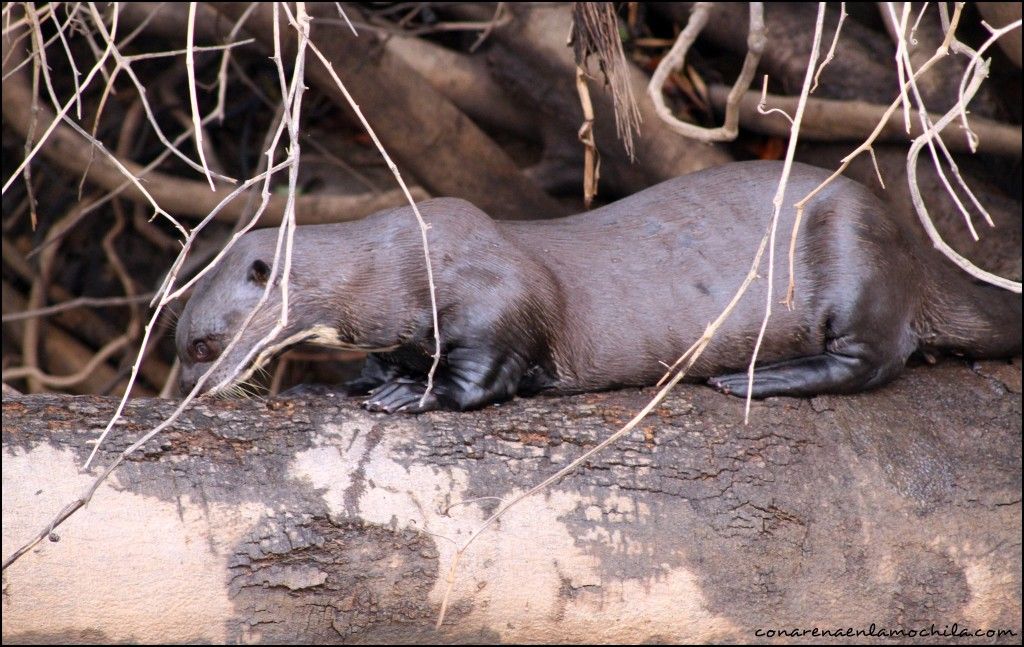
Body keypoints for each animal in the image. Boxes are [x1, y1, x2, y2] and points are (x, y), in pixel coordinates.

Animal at [174, 160, 1015, 409]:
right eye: (179, 343)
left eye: (204, 344)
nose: (185, 389)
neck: (392, 269)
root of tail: (910, 244)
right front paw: (368, 375)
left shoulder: (499, 293)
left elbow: (485, 375)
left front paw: (409, 393)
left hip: (851, 253)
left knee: (877, 358)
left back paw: (753, 378)